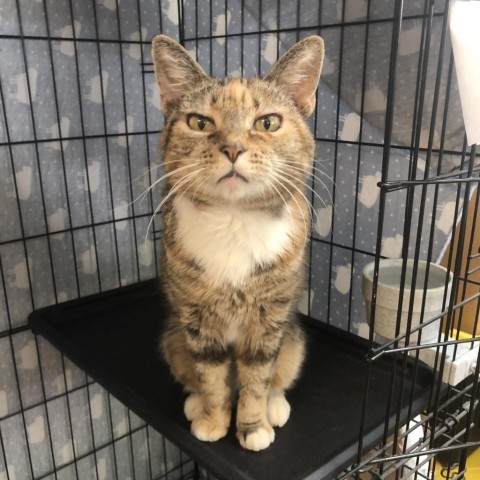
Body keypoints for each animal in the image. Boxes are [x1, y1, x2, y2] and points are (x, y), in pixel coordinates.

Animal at [152, 33, 324, 450]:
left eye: (268, 122)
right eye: (199, 122)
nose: (232, 148)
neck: (232, 219)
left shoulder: (269, 322)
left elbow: (257, 377)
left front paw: (253, 426)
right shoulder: (196, 321)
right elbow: (211, 376)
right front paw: (213, 421)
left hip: (294, 340)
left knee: (277, 376)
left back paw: (274, 407)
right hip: (172, 339)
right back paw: (195, 402)